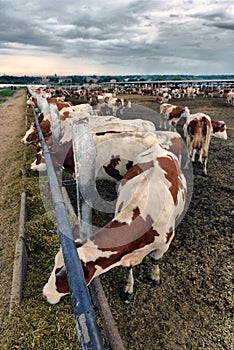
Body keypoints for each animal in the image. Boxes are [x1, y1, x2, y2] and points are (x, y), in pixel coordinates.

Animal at [43, 142, 187, 304]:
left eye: (62, 277)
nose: (45, 294)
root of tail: (158, 146)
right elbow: (129, 268)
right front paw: (128, 289)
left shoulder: (164, 244)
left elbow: (156, 260)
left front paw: (155, 277)